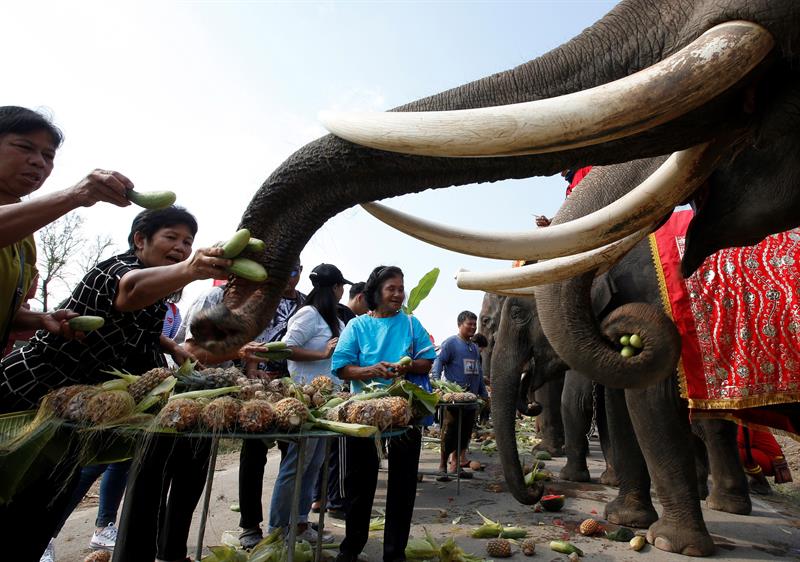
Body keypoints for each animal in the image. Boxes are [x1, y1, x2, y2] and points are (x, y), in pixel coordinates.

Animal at [188, 0, 800, 552]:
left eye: (519, 320)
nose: (215, 316)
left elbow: (630, 396)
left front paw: (659, 536)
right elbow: (619, 398)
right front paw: (628, 517)